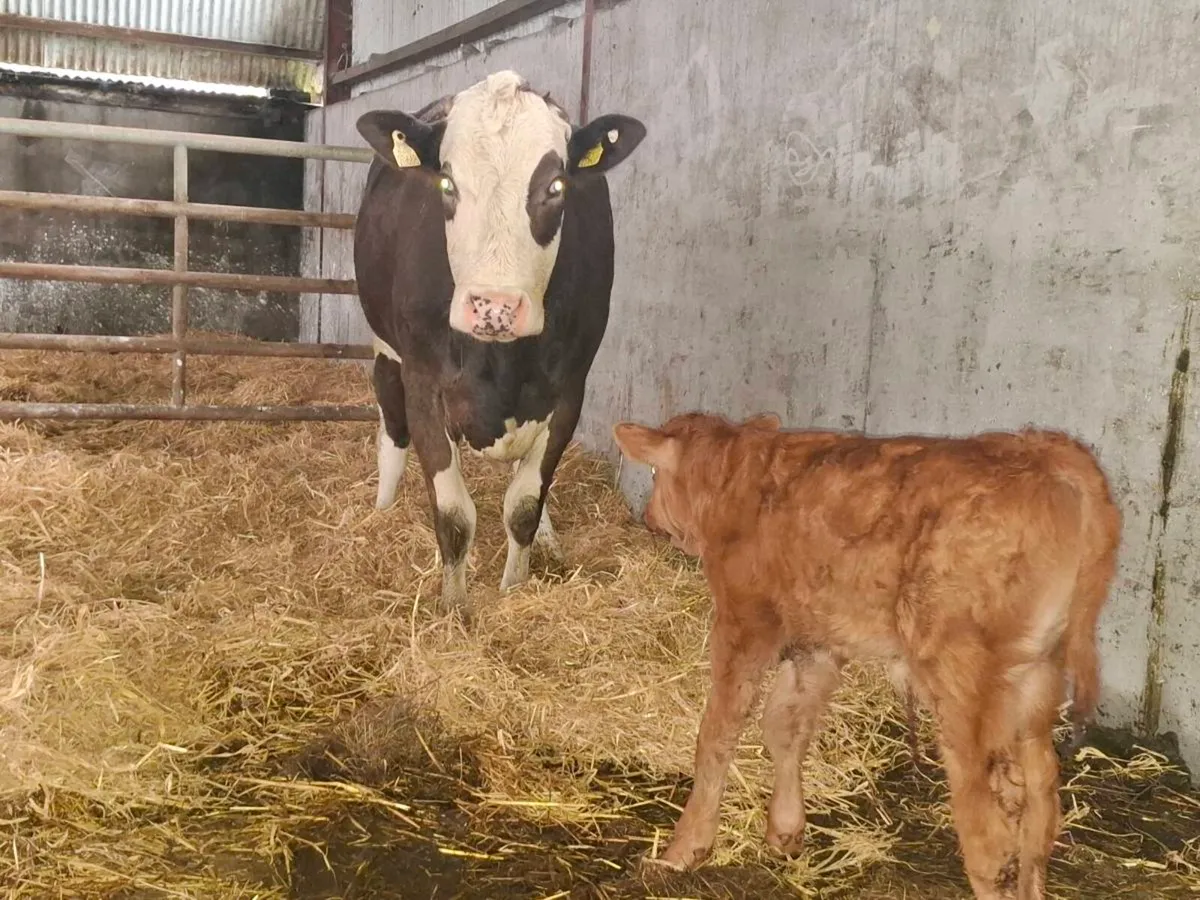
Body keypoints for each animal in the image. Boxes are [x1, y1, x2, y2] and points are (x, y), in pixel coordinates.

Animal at [352, 71, 646, 619]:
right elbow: (453, 515)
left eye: (555, 186)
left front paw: (516, 588)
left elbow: (525, 504)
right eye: (447, 183)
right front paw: (454, 610)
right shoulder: (424, 381)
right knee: (392, 432)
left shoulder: (570, 388)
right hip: (384, 350)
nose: (494, 306)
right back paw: (380, 511)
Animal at [612, 411, 1120, 900]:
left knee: (991, 830)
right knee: (1039, 807)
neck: (733, 482)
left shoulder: (747, 620)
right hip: (1037, 676)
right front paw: (785, 831)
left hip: (960, 678)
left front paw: (683, 849)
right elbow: (784, 726)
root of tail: (1047, 453)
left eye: (654, 472)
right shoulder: (817, 638)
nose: (649, 518)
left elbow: (718, 733)